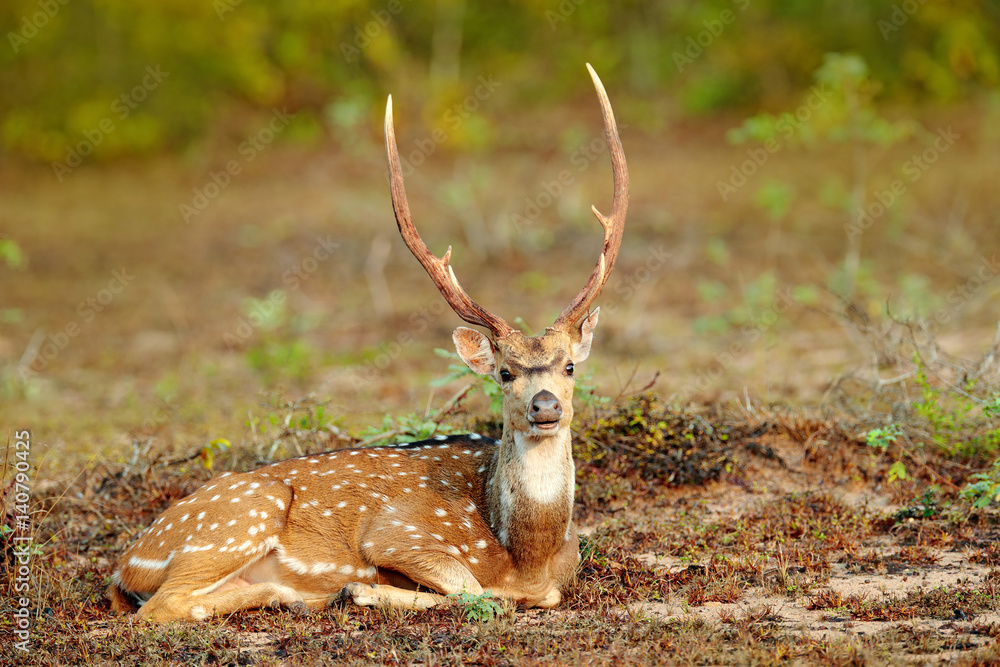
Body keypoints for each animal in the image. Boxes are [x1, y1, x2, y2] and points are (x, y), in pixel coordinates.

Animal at [108, 63, 628, 622]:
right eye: (504, 372)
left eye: (570, 366)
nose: (545, 405)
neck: (526, 556)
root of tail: (125, 565)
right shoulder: (397, 533)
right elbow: (478, 590)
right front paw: (363, 589)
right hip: (234, 522)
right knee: (160, 606)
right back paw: (305, 593)